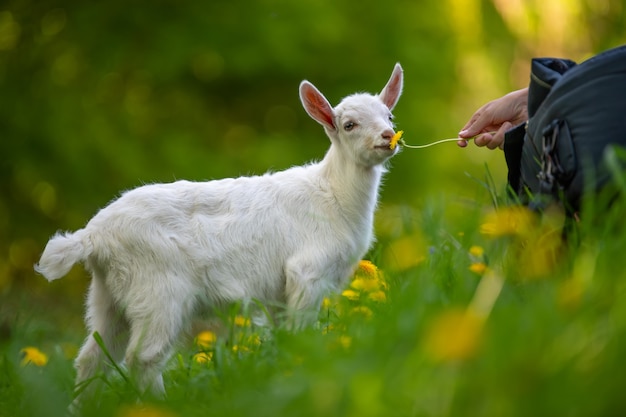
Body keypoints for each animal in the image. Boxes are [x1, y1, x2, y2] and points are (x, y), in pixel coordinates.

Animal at [35, 61, 404, 396]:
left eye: (389, 117)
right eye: (349, 124)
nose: (388, 137)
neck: (332, 196)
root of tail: (93, 236)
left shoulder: (281, 293)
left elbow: (285, 337)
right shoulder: (306, 272)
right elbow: (301, 334)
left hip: (108, 294)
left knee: (93, 355)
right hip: (159, 291)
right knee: (144, 357)